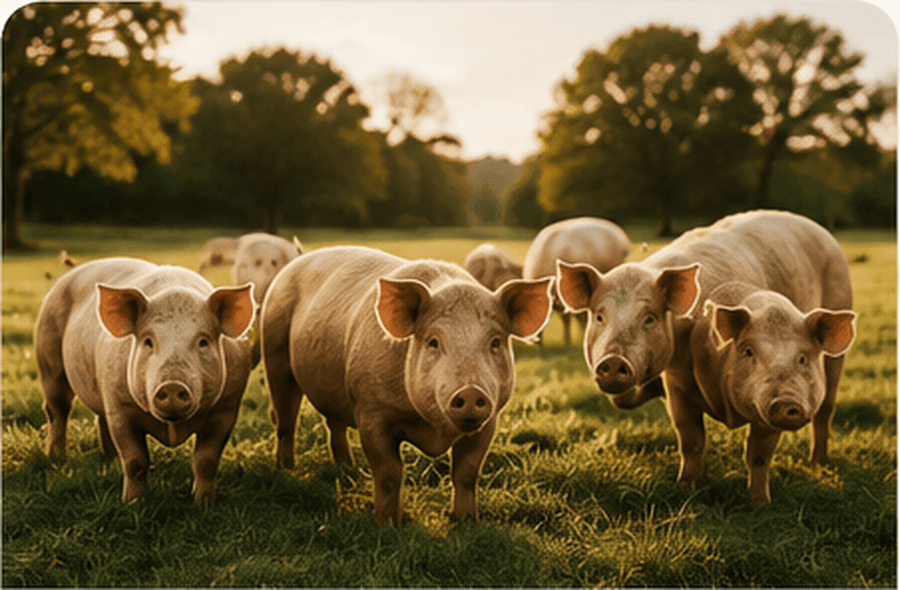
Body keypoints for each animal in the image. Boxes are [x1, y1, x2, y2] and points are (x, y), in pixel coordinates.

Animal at [34, 257, 256, 503]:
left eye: (203, 342)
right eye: (148, 341)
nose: (172, 385)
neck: (172, 427)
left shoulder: (226, 410)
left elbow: (206, 461)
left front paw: (203, 502)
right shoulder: (121, 409)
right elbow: (135, 462)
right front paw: (134, 503)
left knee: (99, 417)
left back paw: (110, 459)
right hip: (49, 360)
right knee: (57, 410)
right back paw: (56, 459)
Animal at [260, 246, 553, 523]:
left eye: (495, 341)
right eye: (433, 341)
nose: (470, 391)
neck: (435, 430)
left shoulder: (489, 421)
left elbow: (467, 473)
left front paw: (465, 520)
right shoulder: (371, 411)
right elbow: (389, 472)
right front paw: (390, 522)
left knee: (335, 424)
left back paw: (348, 470)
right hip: (275, 353)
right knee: (286, 419)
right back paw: (285, 468)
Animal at [687, 281, 856, 504]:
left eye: (803, 358)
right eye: (748, 351)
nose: (786, 402)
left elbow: (758, 456)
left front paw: (761, 504)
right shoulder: (678, 385)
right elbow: (691, 440)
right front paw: (687, 489)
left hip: (835, 363)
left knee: (825, 412)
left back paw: (818, 463)